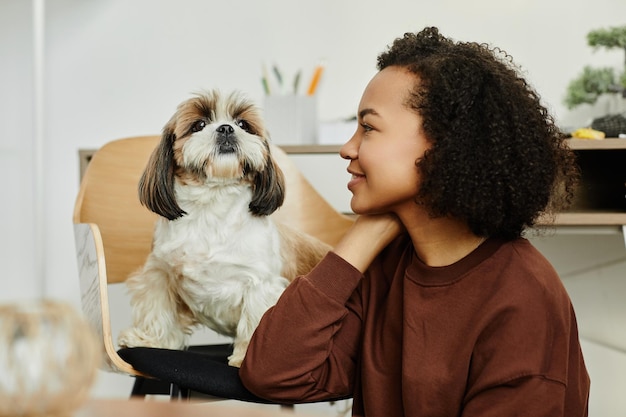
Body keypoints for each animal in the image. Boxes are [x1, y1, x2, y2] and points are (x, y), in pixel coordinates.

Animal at [118, 89, 332, 366]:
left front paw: (247, 360)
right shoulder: (159, 273)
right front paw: (151, 340)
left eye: (244, 124)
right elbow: (158, 307)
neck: (212, 208)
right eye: (198, 125)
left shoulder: (261, 285)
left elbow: (255, 322)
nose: (226, 128)